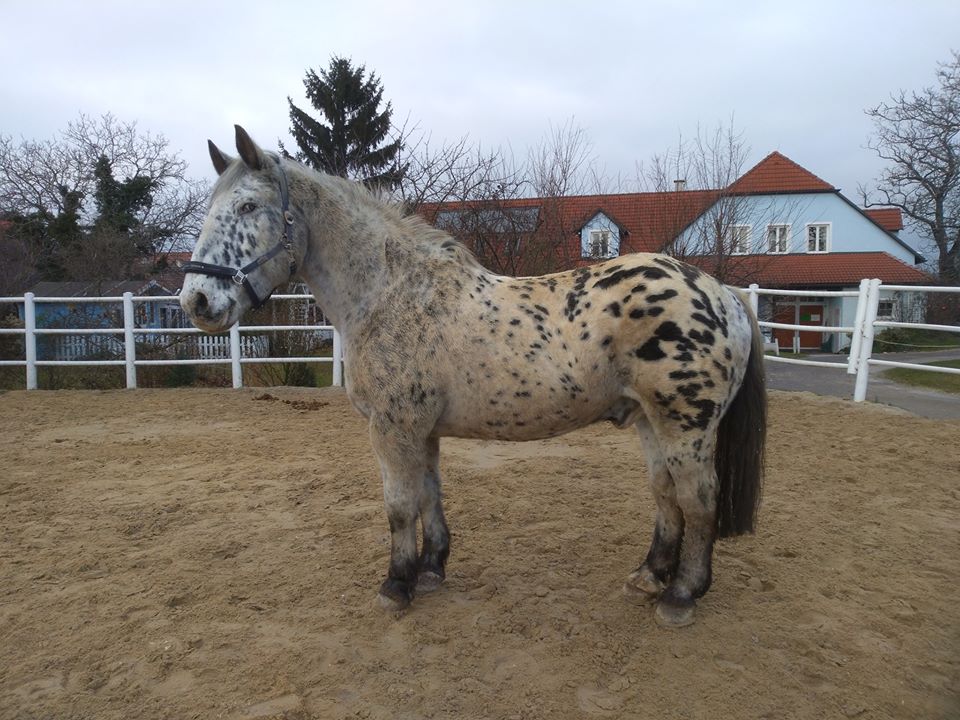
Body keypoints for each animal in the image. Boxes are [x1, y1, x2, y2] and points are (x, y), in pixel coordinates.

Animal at [180, 126, 766, 628]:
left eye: (248, 206)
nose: (197, 300)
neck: (390, 293)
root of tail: (723, 296)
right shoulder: (421, 432)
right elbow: (429, 496)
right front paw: (431, 569)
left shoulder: (392, 429)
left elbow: (399, 507)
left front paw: (396, 586)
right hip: (649, 421)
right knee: (665, 495)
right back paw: (649, 576)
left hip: (686, 428)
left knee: (699, 500)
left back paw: (681, 595)